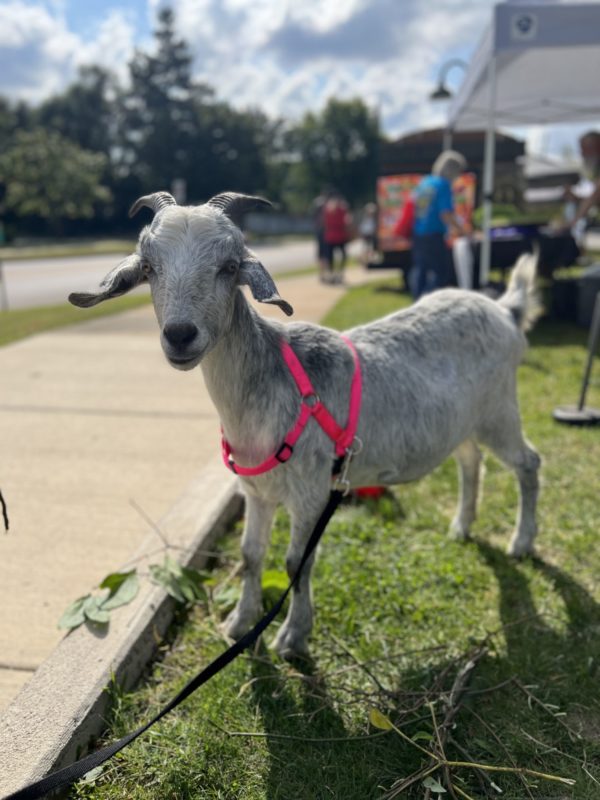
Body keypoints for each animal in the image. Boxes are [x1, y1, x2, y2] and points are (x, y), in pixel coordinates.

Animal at [69, 191, 541, 659]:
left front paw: (292, 637)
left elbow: (297, 562)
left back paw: (521, 543)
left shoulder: (311, 492)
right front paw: (239, 623)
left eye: (229, 266)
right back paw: (462, 526)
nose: (180, 335)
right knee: (470, 460)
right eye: (149, 268)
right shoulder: (255, 492)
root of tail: (504, 310)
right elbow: (251, 555)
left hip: (500, 410)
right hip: (464, 422)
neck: (265, 389)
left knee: (528, 463)